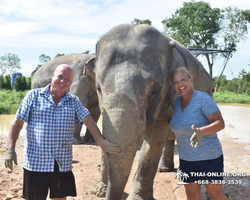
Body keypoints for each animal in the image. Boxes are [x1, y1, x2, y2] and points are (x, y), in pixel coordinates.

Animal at [94, 23, 214, 200]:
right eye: (98, 88)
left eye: (153, 92)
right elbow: (105, 134)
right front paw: (99, 191)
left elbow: (154, 139)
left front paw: (136, 198)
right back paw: (164, 169)